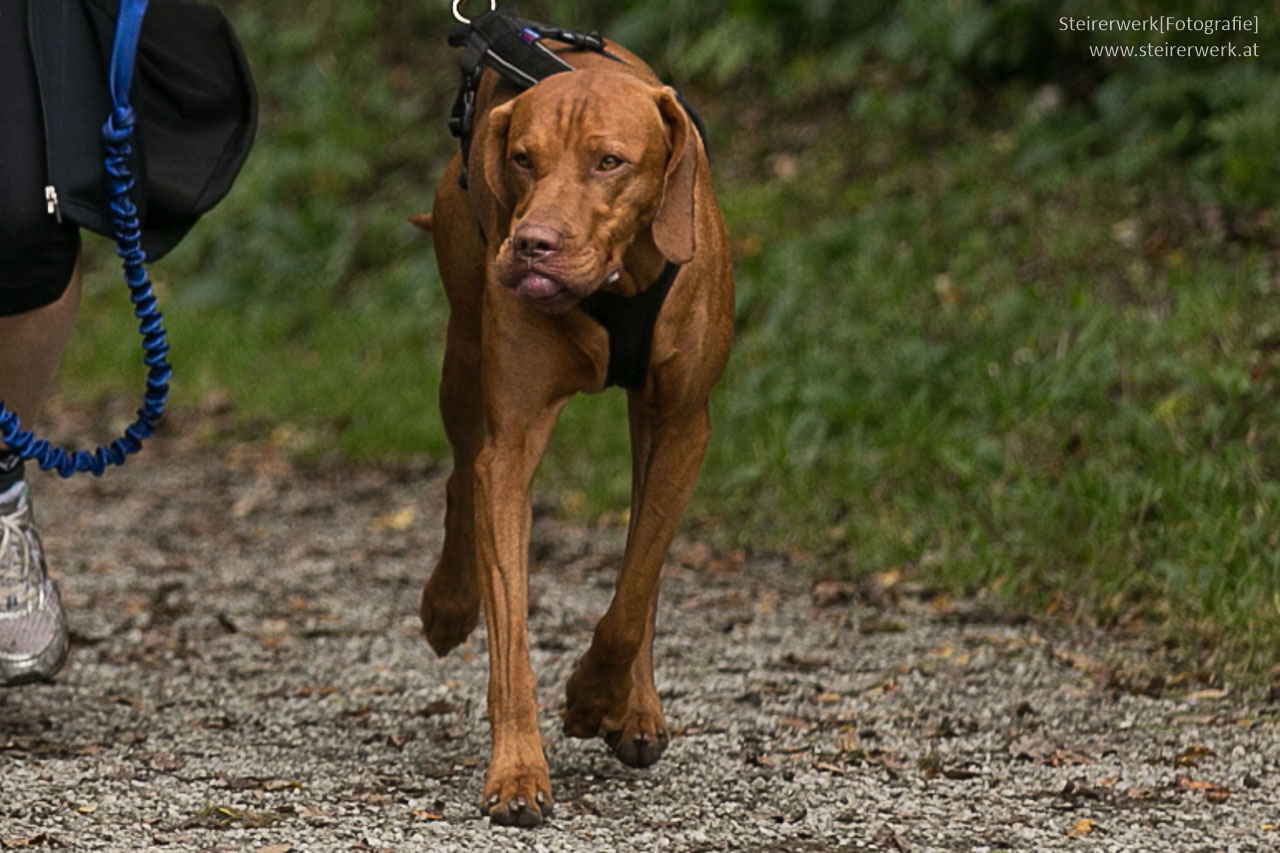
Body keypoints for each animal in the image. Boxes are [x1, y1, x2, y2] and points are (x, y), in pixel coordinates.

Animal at [414, 34, 737, 824]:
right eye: (523, 158)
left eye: (609, 161)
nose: (532, 243)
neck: (617, 283)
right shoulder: (511, 447)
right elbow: (511, 635)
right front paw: (517, 768)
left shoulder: (682, 426)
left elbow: (636, 586)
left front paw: (597, 696)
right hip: (464, 356)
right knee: (460, 477)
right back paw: (449, 602)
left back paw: (638, 706)